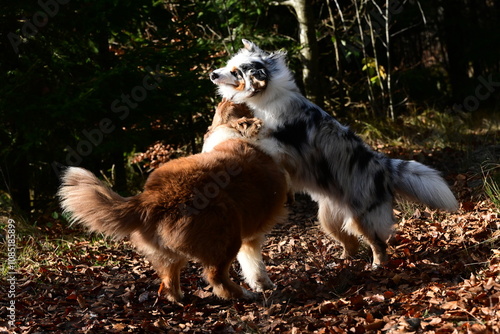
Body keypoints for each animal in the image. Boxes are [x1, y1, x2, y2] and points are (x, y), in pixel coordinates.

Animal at [57, 101, 290, 300]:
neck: (229, 130)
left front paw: (261, 283)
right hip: (227, 231)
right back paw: (242, 294)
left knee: (169, 279)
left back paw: (179, 298)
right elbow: (256, 263)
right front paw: (263, 285)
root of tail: (153, 197)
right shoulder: (251, 233)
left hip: (171, 252)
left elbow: (251, 265)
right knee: (215, 276)